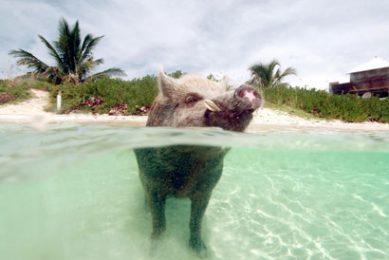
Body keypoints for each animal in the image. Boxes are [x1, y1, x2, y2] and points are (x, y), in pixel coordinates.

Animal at [133, 71, 260, 256]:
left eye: (220, 91)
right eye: (190, 99)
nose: (248, 89)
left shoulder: (207, 188)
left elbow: (195, 221)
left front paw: (202, 252)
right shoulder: (152, 182)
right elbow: (159, 222)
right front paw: (155, 250)